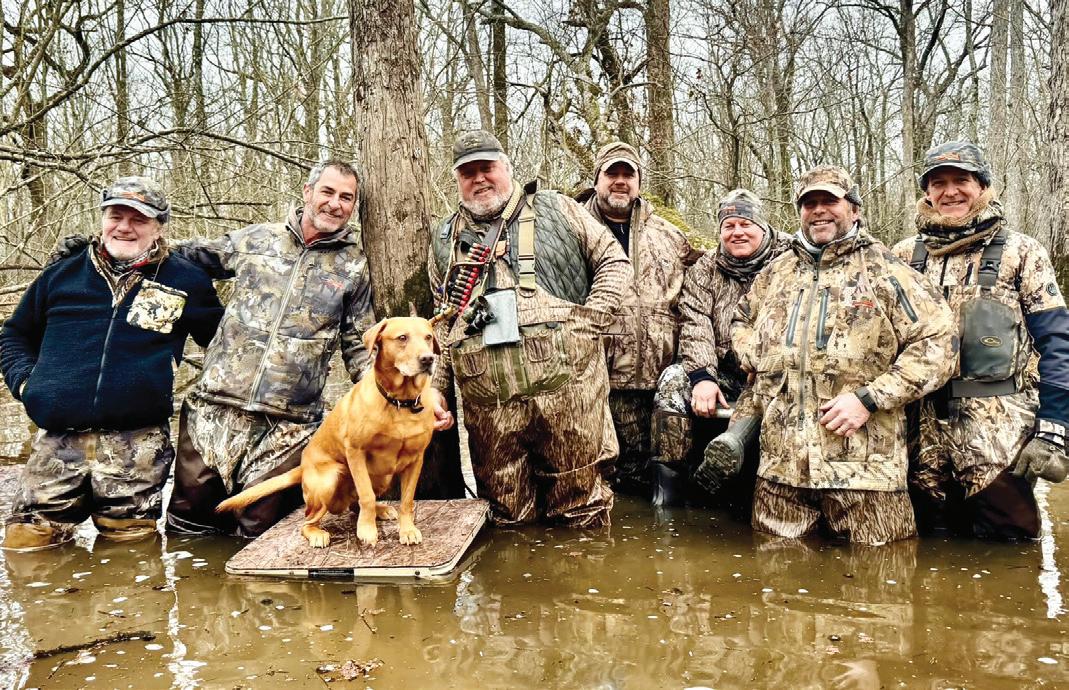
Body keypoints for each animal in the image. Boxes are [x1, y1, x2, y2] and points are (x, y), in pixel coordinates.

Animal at [216, 316, 439, 548]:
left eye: (428, 337)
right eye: (402, 338)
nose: (428, 359)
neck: (400, 403)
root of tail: (303, 467)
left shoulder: (416, 459)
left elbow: (407, 500)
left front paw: (408, 530)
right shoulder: (356, 452)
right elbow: (366, 496)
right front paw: (367, 530)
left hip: (382, 477)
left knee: (354, 504)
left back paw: (381, 510)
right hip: (330, 479)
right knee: (308, 520)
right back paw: (318, 533)